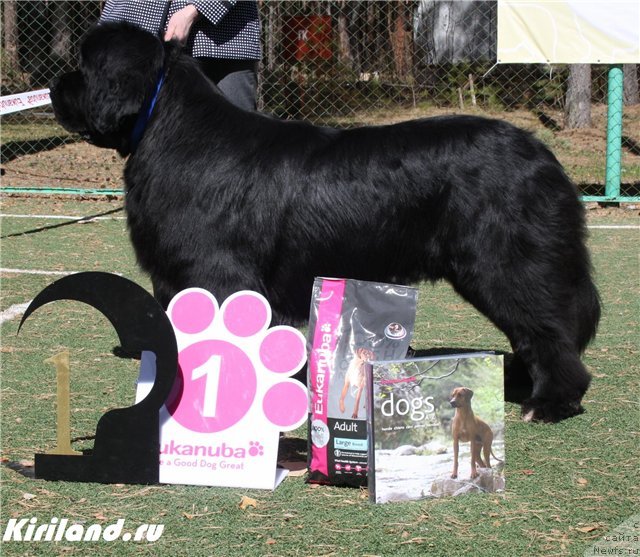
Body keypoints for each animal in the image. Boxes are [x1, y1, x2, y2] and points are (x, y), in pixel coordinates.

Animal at [50, 22, 600, 422]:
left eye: (84, 66)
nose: (55, 83)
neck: (169, 129)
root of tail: (543, 154)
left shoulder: (216, 272)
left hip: (506, 263)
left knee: (548, 327)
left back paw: (549, 402)